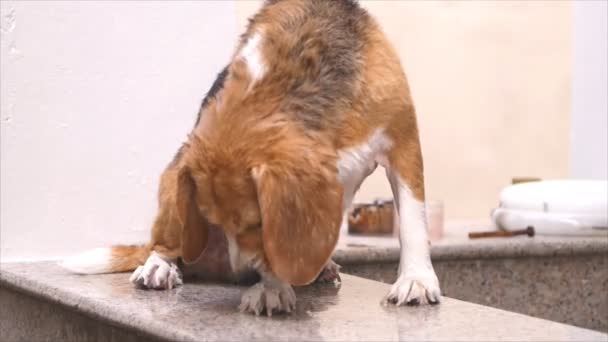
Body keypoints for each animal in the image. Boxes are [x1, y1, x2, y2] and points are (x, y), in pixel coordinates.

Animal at [61, 0, 442, 316]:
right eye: (218, 220)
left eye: (256, 223)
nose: (242, 270)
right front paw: (272, 288)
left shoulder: (403, 143)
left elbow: (412, 222)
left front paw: (417, 280)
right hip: (172, 183)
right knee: (162, 245)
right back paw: (159, 267)